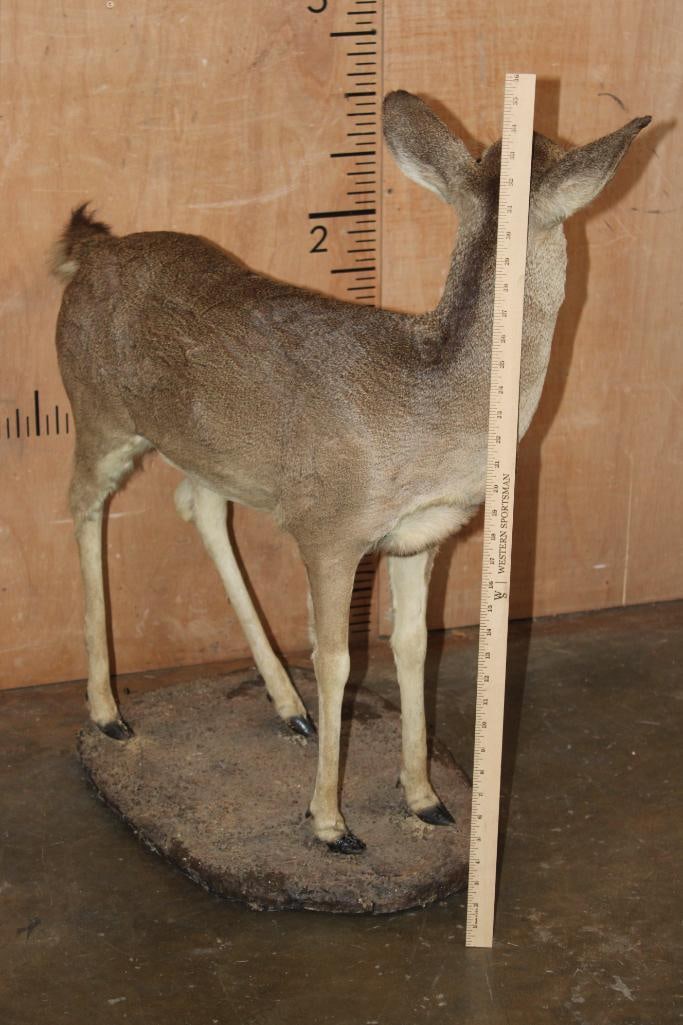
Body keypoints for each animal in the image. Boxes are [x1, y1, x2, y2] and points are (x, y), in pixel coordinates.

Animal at [52, 91, 650, 854]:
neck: (432, 411)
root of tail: (90, 252)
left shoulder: (421, 536)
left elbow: (413, 648)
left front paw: (425, 797)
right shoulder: (328, 530)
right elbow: (337, 658)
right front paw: (330, 823)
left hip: (210, 449)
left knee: (199, 506)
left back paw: (288, 707)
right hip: (96, 411)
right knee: (84, 505)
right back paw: (108, 712)